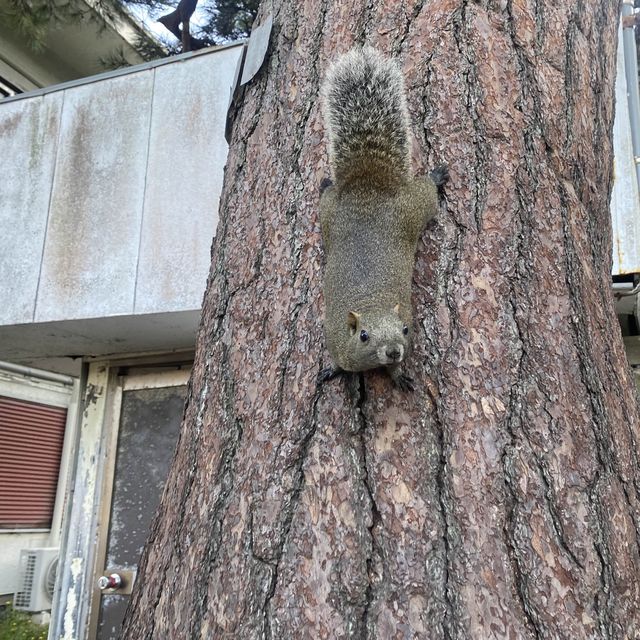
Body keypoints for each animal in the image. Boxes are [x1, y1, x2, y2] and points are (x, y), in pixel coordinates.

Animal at [318, 46, 448, 390]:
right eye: (364, 336)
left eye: (405, 329)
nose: (393, 351)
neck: (372, 302)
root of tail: (368, 183)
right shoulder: (335, 340)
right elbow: (341, 363)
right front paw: (337, 372)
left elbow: (396, 370)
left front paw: (398, 375)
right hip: (331, 213)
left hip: (412, 208)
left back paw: (436, 176)